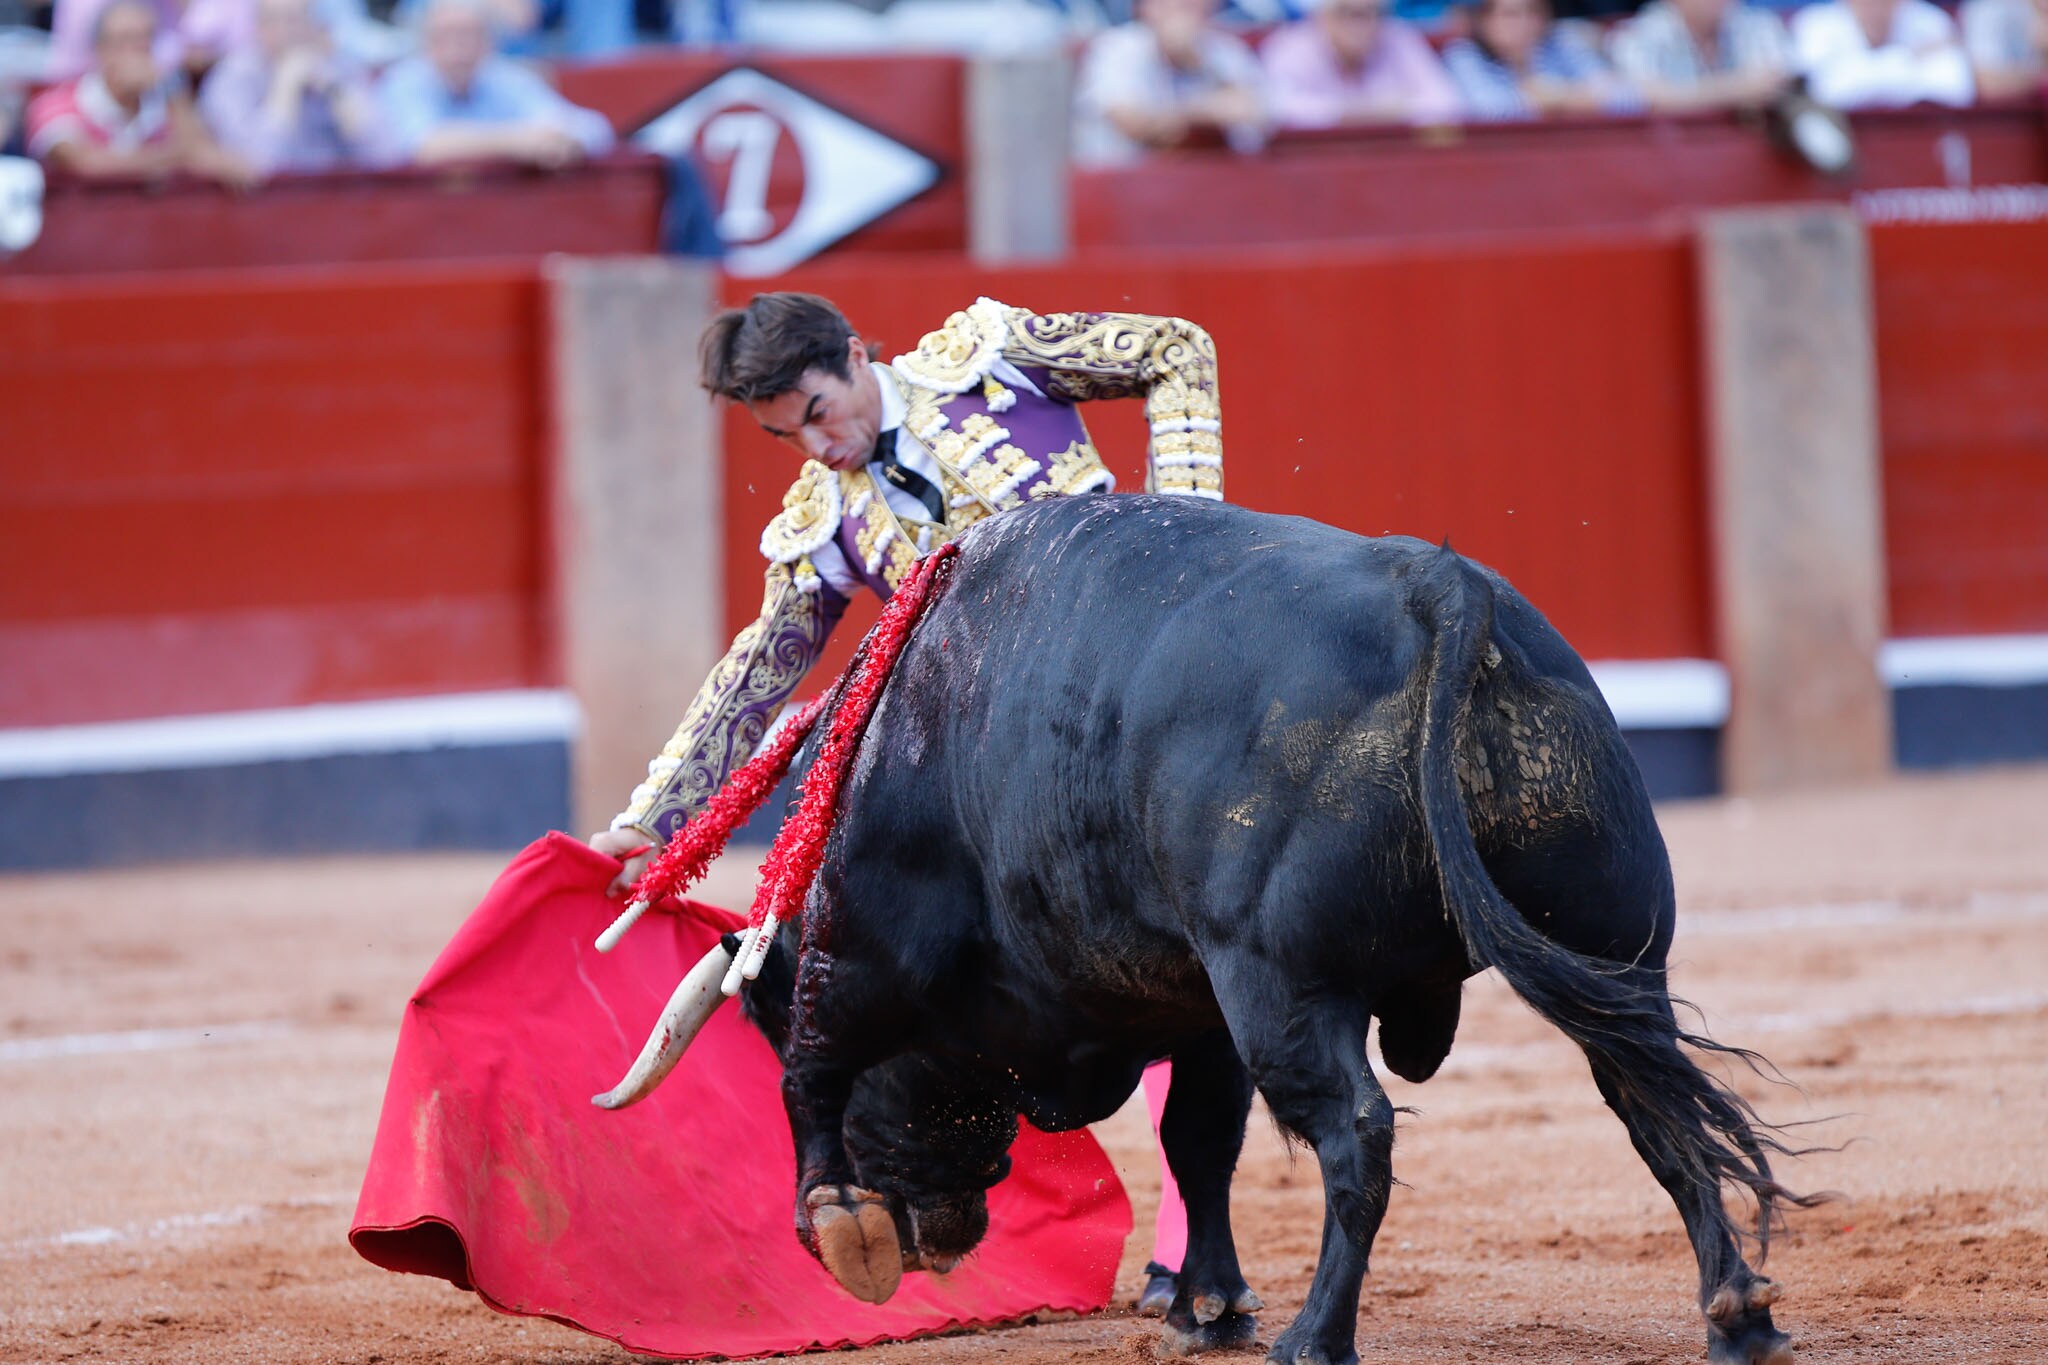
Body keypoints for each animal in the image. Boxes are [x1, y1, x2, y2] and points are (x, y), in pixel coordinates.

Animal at [659, 493, 1810, 1365]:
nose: (936, 1241)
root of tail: (1440, 588)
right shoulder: (1194, 998)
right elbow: (1198, 1138)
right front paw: (1207, 1306)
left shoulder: (866, 944)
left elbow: (811, 1065)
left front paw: (831, 1215)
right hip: (1616, 952)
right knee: (1654, 1105)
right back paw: (1736, 1316)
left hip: (1284, 981)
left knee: (1356, 1133)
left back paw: (1316, 1339)